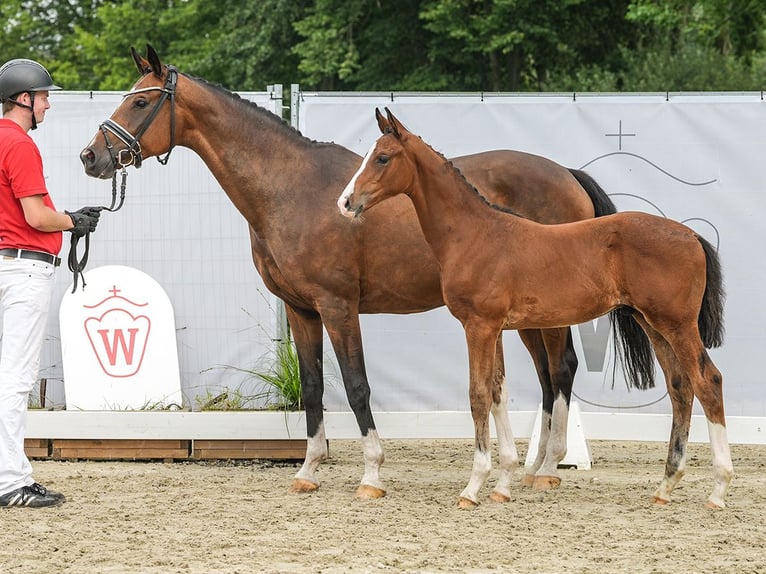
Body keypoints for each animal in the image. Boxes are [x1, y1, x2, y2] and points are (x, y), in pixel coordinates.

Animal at [81, 46, 628, 504]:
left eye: (142, 101)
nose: (91, 156)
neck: (290, 188)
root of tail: (567, 173)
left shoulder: (338, 306)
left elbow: (357, 384)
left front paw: (372, 473)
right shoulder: (301, 310)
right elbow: (313, 386)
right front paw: (308, 470)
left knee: (561, 369)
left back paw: (547, 469)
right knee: (546, 377)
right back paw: (530, 468)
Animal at [340, 107, 736, 508]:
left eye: (383, 157)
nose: (345, 202)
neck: (474, 234)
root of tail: (691, 235)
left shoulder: (479, 326)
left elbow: (478, 395)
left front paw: (473, 487)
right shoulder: (495, 329)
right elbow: (497, 393)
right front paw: (502, 484)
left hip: (677, 324)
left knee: (708, 381)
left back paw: (718, 490)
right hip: (653, 324)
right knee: (680, 387)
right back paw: (666, 486)